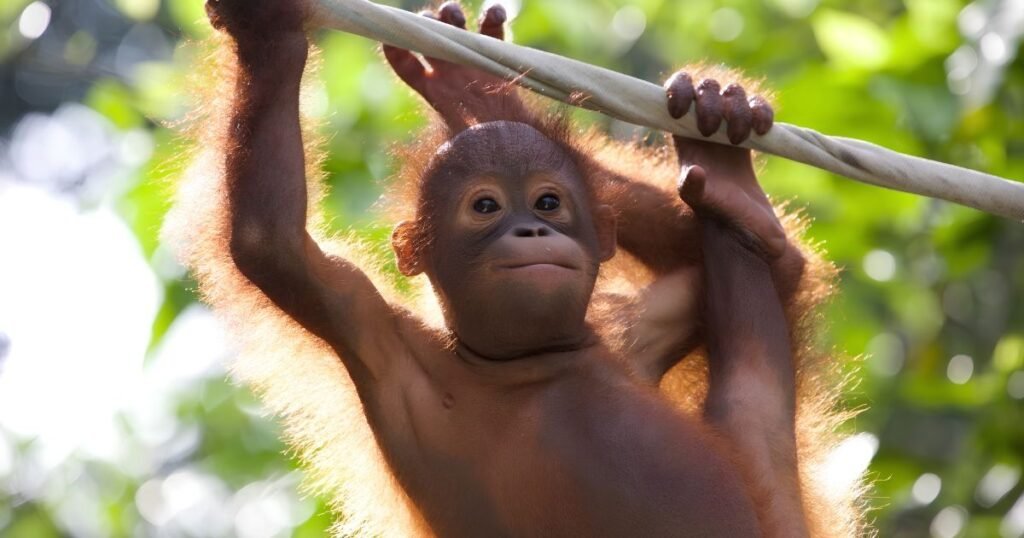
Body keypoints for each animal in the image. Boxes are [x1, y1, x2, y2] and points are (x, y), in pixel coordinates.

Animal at [163, 0, 866, 536]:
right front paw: (270, 27)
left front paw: (471, 89)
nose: (531, 230)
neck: (525, 360)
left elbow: (747, 280)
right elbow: (268, 240)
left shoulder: (635, 331)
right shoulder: (360, 318)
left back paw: (731, 187)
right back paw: (731, 191)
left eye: (549, 202)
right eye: (486, 207)